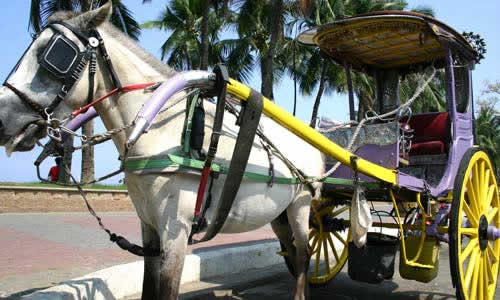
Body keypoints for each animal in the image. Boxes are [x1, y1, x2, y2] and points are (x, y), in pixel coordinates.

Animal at [0, 3, 324, 298]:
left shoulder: (175, 230)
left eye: (55, 54)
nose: (2, 120)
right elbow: (148, 285)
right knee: (292, 249)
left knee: (304, 251)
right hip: (278, 214)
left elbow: (167, 288)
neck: (161, 130)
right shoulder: (148, 225)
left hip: (301, 204)